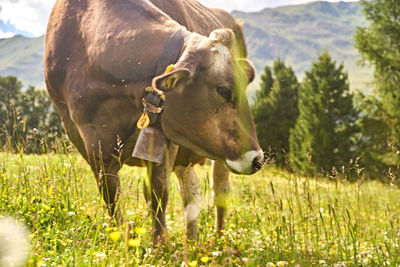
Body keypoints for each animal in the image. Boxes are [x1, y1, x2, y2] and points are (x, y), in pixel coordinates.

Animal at [44, 0, 262, 244]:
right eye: (224, 90)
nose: (257, 159)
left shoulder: (164, 140)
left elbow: (157, 192)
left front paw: (159, 246)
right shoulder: (89, 143)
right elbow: (110, 193)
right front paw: (119, 237)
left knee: (220, 189)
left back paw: (219, 241)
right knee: (190, 193)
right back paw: (192, 242)